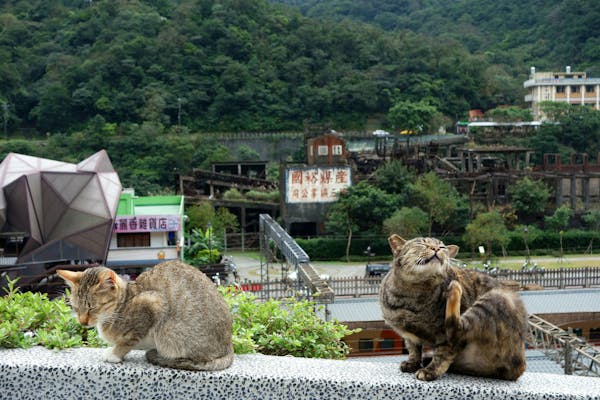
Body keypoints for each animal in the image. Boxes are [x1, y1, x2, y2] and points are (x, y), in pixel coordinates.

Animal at [57, 260, 233, 372]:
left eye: (92, 308)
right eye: (75, 308)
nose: (82, 322)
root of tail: (228, 347)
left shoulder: (153, 303)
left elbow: (127, 341)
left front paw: (114, 354)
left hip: (168, 332)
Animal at [380, 234, 524, 382]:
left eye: (442, 246)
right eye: (422, 243)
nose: (436, 248)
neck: (412, 294)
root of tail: (519, 369)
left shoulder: (443, 336)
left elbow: (442, 354)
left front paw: (430, 370)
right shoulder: (409, 336)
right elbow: (413, 349)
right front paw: (412, 362)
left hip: (495, 299)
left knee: (457, 329)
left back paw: (454, 289)